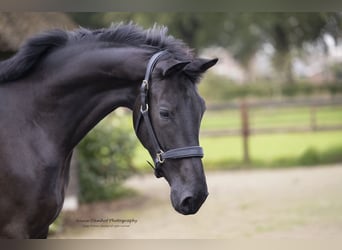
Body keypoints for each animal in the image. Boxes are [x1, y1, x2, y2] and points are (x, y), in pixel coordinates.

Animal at [0, 23, 218, 238]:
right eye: (164, 113)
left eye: (202, 109)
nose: (196, 196)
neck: (32, 123)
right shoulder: (17, 229)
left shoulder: (40, 228)